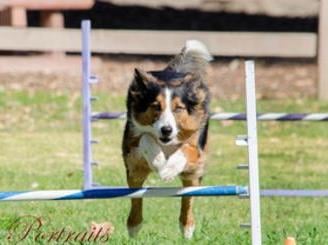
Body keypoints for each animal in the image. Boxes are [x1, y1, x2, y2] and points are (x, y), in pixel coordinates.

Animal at [123, 39, 213, 238]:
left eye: (178, 108)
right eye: (156, 106)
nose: (166, 130)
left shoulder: (197, 149)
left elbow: (185, 149)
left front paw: (169, 170)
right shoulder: (131, 143)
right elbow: (145, 138)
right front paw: (158, 162)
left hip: (192, 176)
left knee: (188, 197)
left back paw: (187, 228)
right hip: (134, 170)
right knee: (136, 195)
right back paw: (133, 226)